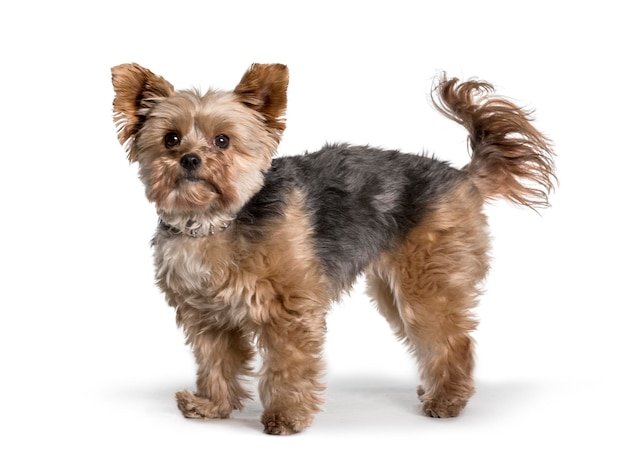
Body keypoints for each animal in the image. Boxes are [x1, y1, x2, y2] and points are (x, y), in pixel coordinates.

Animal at [109, 63, 552, 434]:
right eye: (170, 139)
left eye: (222, 140)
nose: (189, 159)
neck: (215, 220)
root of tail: (463, 177)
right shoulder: (206, 317)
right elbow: (216, 362)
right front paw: (212, 406)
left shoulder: (289, 311)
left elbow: (288, 365)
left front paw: (286, 417)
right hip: (392, 289)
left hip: (426, 284)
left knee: (452, 340)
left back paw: (447, 401)